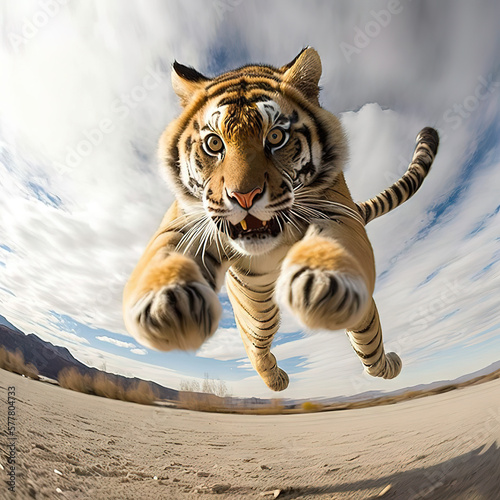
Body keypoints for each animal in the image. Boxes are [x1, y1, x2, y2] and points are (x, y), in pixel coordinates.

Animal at [123, 47, 440, 390]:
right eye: (214, 143)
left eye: (275, 137)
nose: (244, 196)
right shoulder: (185, 221)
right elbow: (163, 255)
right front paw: (163, 305)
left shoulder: (339, 211)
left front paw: (323, 283)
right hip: (256, 309)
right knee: (256, 344)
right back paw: (277, 381)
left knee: (369, 344)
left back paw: (389, 363)